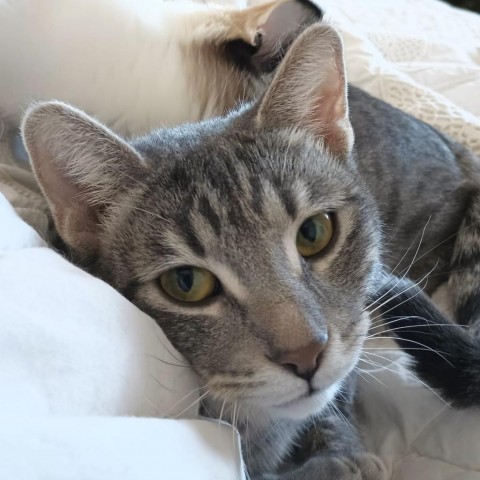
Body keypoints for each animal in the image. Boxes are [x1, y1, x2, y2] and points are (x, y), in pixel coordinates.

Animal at [20, 22, 480, 480]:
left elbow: (337, 398)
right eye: (186, 283)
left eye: (313, 233)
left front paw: (342, 451)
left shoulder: (359, 321)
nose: (306, 355)